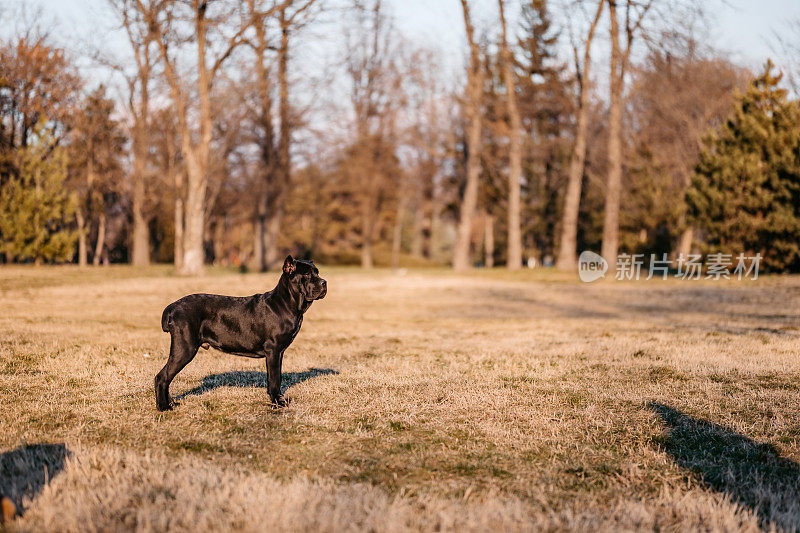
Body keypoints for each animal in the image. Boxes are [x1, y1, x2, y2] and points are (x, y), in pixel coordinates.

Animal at [156, 256, 324, 410]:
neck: (287, 303)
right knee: (162, 377)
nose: (324, 283)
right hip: (185, 348)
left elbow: (277, 377)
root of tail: (172, 307)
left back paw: (170, 403)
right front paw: (278, 402)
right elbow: (275, 379)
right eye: (307, 274)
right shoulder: (273, 350)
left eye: (317, 272)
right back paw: (163, 407)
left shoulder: (279, 352)